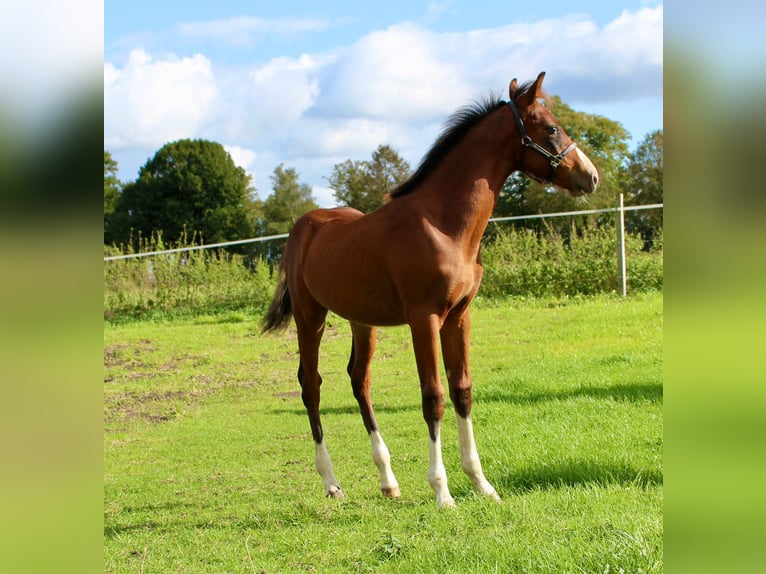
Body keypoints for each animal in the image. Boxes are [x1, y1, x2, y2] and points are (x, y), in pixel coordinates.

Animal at [264, 72, 600, 508]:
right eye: (552, 128)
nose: (591, 176)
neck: (443, 225)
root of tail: (303, 226)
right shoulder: (424, 319)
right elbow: (433, 396)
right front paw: (442, 491)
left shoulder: (459, 317)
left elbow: (462, 391)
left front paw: (482, 484)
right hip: (311, 317)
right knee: (311, 384)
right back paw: (331, 482)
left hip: (362, 322)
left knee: (360, 380)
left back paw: (388, 481)